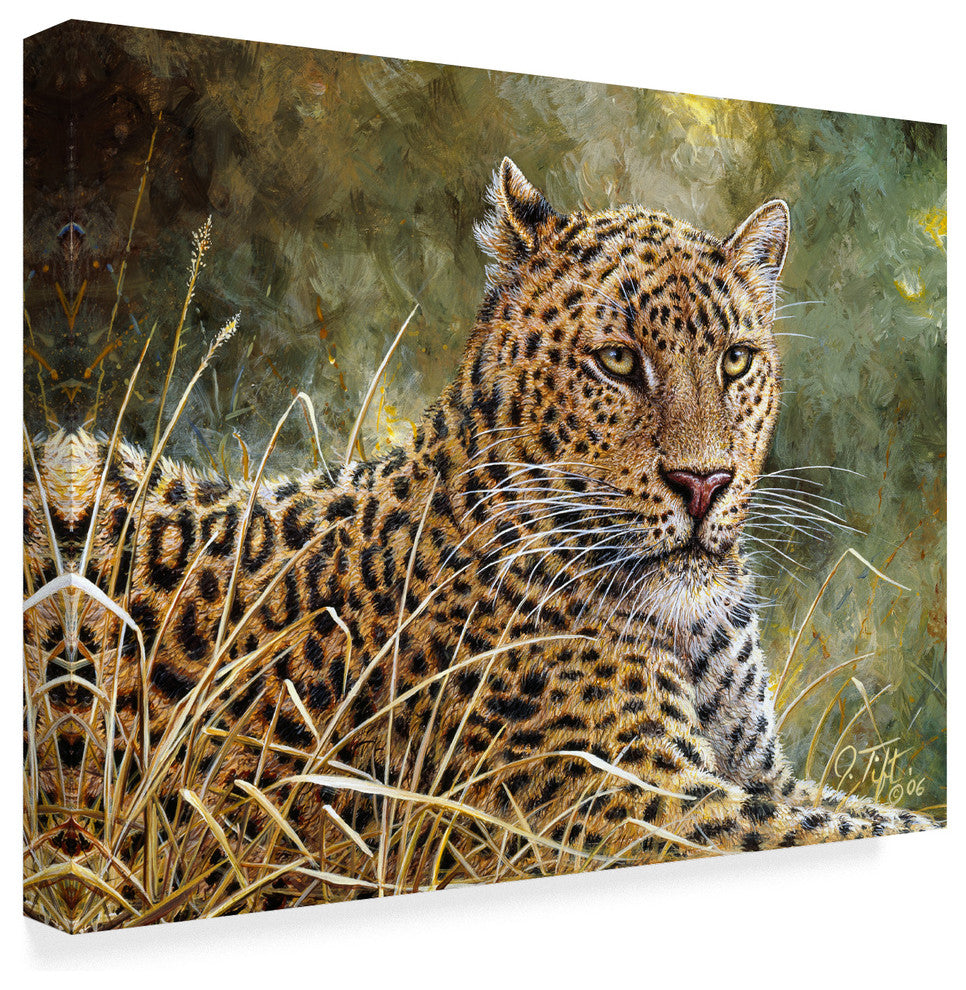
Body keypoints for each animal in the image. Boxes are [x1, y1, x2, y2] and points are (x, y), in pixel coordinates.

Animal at [23, 158, 936, 889]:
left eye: (736, 361)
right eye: (617, 362)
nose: (704, 482)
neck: (687, 628)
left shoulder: (760, 778)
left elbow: (887, 815)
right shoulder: (640, 807)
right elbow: (872, 826)